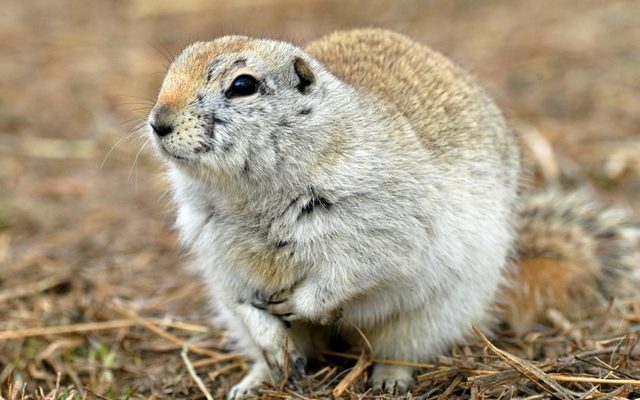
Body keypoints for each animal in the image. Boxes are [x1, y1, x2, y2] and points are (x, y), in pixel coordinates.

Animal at [148, 29, 639, 398]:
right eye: (171, 71)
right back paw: (259, 377)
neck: (251, 194)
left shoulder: (381, 226)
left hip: (435, 315)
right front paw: (272, 340)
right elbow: (240, 298)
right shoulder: (216, 248)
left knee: (400, 350)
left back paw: (389, 380)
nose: (158, 122)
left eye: (243, 85)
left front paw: (300, 303)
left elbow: (355, 271)